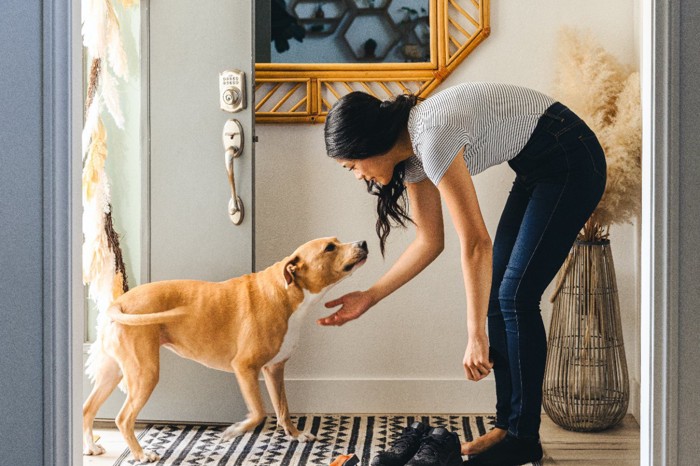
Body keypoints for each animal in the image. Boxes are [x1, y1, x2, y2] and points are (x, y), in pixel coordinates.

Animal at [83, 238, 366, 460]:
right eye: (330, 247)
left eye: (336, 241)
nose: (363, 243)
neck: (286, 292)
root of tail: (119, 303)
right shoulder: (245, 368)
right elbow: (259, 412)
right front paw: (235, 431)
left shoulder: (274, 370)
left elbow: (283, 409)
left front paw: (296, 435)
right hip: (145, 373)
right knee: (123, 418)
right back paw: (141, 454)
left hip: (113, 372)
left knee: (88, 408)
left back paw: (91, 447)